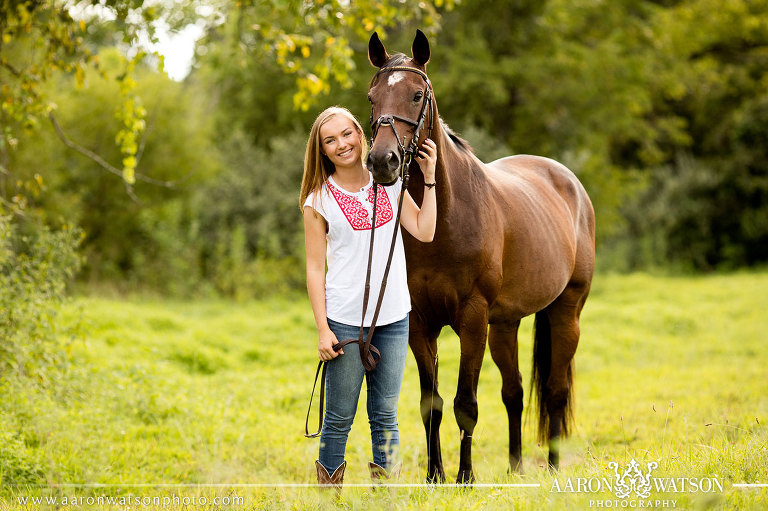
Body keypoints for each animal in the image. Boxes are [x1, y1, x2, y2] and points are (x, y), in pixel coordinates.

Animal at [368, 30, 600, 482]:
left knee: (555, 390)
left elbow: (466, 404)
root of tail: (569, 182)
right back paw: (515, 469)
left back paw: (552, 468)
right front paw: (435, 476)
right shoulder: (421, 324)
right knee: (515, 391)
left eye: (417, 95)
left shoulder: (472, 319)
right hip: (505, 325)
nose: (382, 161)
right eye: (372, 97)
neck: (444, 220)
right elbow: (432, 404)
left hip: (567, 312)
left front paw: (464, 478)